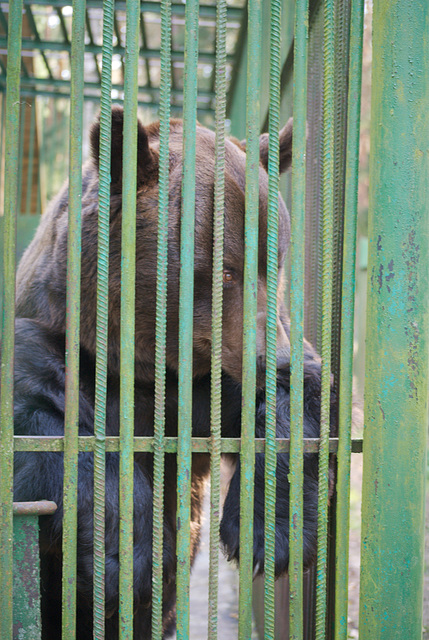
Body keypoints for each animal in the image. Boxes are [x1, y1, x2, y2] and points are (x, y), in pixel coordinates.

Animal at [10, 107, 332, 636]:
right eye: (225, 270)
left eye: (275, 263)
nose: (275, 360)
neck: (153, 366)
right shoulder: (65, 344)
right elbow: (46, 417)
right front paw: (129, 556)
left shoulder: (209, 385)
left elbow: (298, 402)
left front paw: (270, 532)